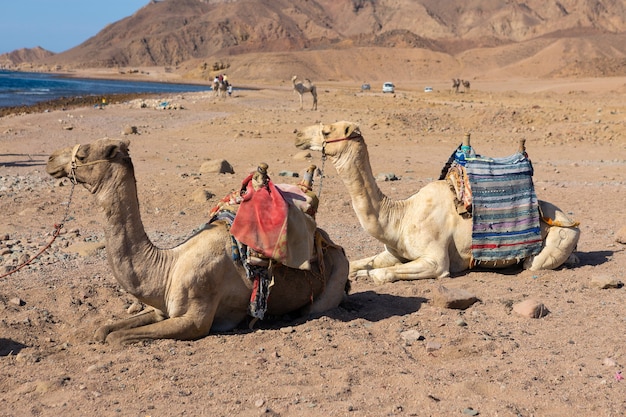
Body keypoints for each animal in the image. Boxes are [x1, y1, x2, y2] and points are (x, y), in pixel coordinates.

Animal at [46, 138, 348, 342]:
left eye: (82, 154)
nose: (50, 160)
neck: (168, 266)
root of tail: (331, 244)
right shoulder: (163, 310)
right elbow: (104, 330)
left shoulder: (195, 319)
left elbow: (116, 338)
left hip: (333, 281)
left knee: (314, 309)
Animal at [294, 119, 576, 282]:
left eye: (326, 131)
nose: (296, 133)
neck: (400, 216)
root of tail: (569, 218)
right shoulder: (395, 252)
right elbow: (357, 263)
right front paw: (357, 269)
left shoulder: (435, 261)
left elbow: (381, 274)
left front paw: (366, 274)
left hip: (560, 237)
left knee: (533, 263)